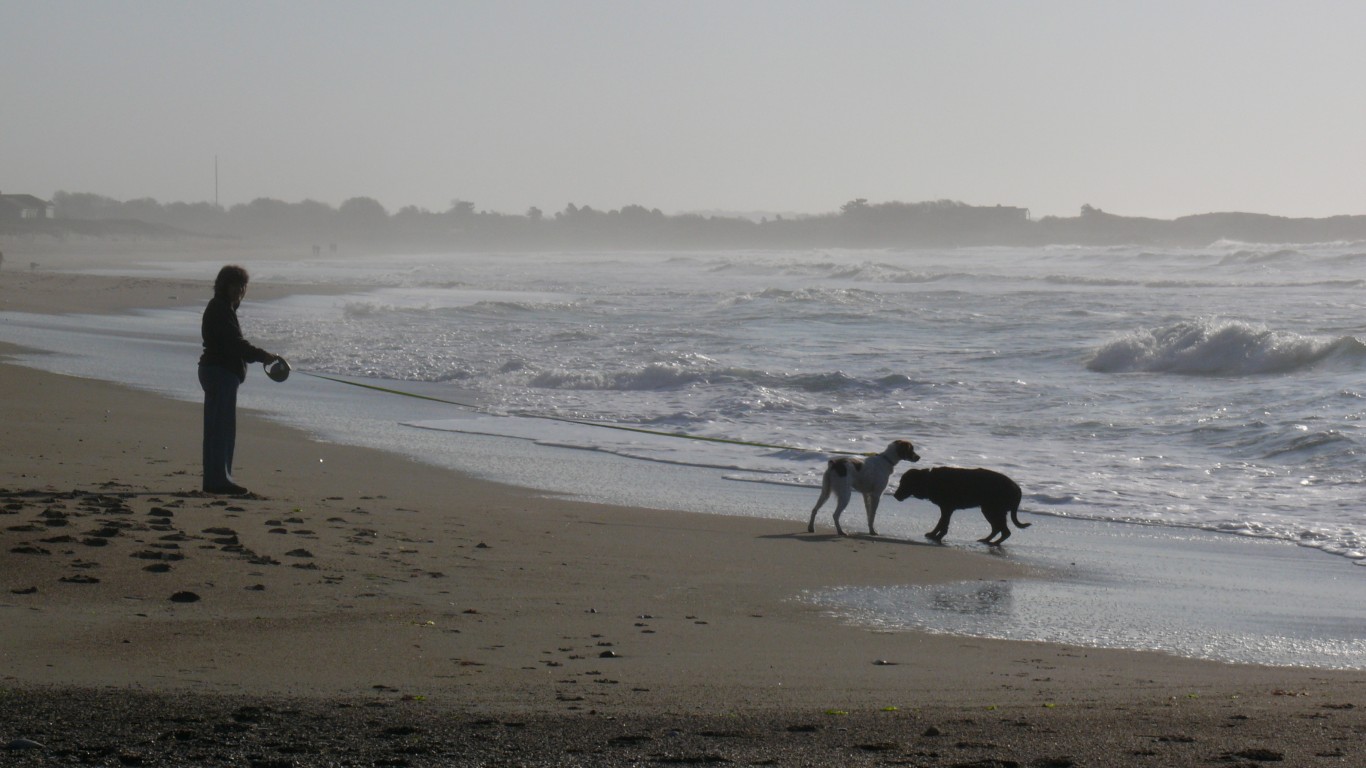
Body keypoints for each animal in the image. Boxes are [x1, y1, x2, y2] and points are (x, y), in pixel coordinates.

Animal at [890, 467, 1027, 543]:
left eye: (904, 483)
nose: (895, 495)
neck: (929, 480)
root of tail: (1017, 488)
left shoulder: (947, 508)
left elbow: (942, 523)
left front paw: (937, 536)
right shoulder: (947, 509)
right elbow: (942, 523)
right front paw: (935, 535)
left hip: (992, 509)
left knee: (1005, 531)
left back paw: (993, 543)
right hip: (990, 510)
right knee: (998, 529)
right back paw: (986, 540)